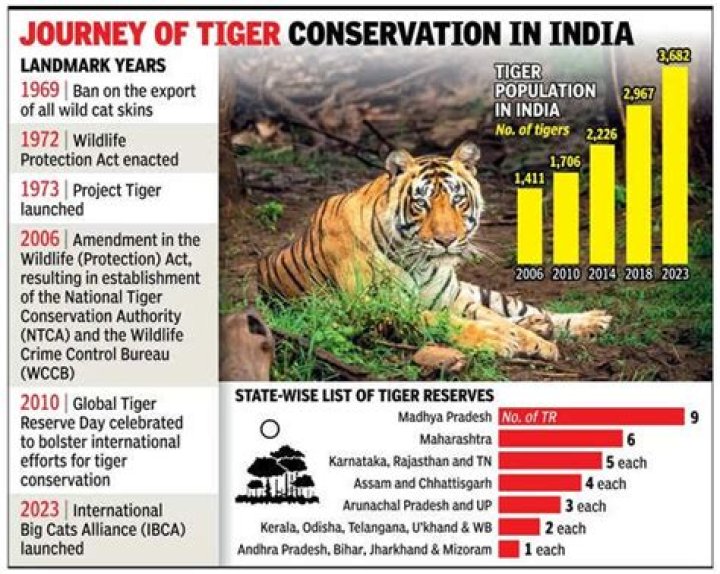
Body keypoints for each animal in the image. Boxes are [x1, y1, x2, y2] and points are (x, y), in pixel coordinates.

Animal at [257, 141, 611, 360]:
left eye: (458, 200)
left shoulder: (453, 299)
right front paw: (500, 340)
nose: (447, 239)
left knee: (521, 309)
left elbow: (496, 319)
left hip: (474, 291)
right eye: (421, 204)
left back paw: (587, 321)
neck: (420, 262)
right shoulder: (379, 308)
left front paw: (538, 344)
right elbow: (453, 323)